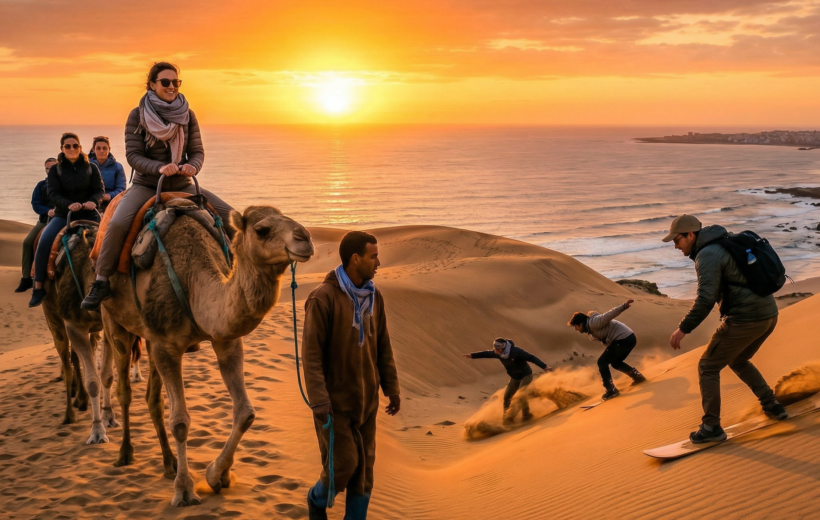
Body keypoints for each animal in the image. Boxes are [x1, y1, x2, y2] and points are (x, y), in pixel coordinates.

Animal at [40, 222, 121, 443]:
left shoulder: (106, 327)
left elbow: (106, 375)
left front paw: (109, 417)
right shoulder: (74, 326)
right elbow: (92, 381)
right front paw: (97, 431)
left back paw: (80, 401)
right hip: (54, 320)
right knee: (66, 362)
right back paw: (70, 413)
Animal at [101, 204, 314, 507]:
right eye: (261, 230)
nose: (305, 237)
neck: (193, 283)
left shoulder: (225, 340)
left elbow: (245, 413)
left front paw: (217, 475)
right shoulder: (166, 345)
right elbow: (180, 422)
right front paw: (184, 491)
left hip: (149, 339)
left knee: (152, 397)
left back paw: (168, 464)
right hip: (114, 320)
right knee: (124, 388)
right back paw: (125, 453)